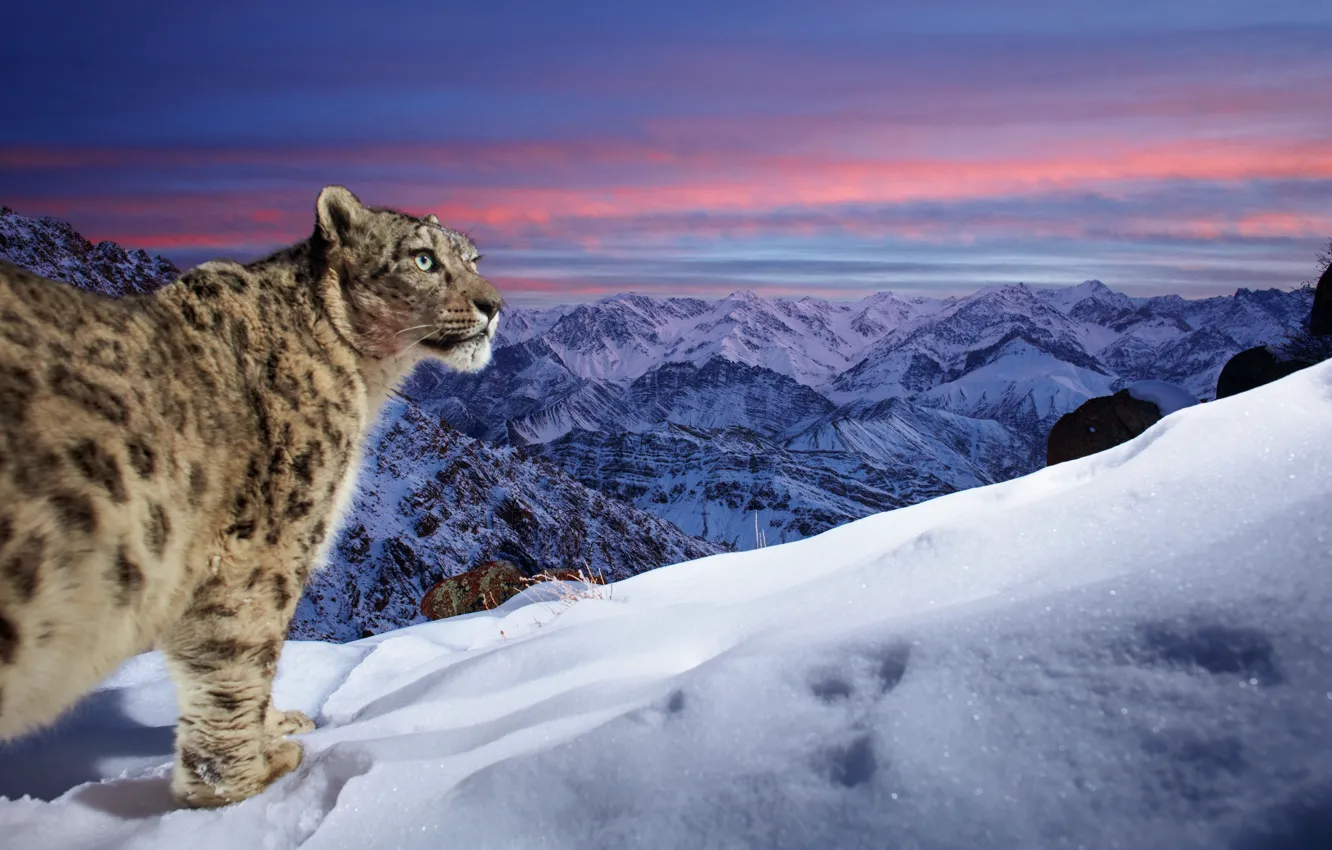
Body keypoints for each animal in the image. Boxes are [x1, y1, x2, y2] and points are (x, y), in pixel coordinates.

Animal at [0, 185, 502, 807]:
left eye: (472, 259)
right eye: (423, 259)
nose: (494, 304)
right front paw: (246, 780)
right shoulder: (266, 544)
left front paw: (277, 727)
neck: (365, 382)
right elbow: (240, 657)